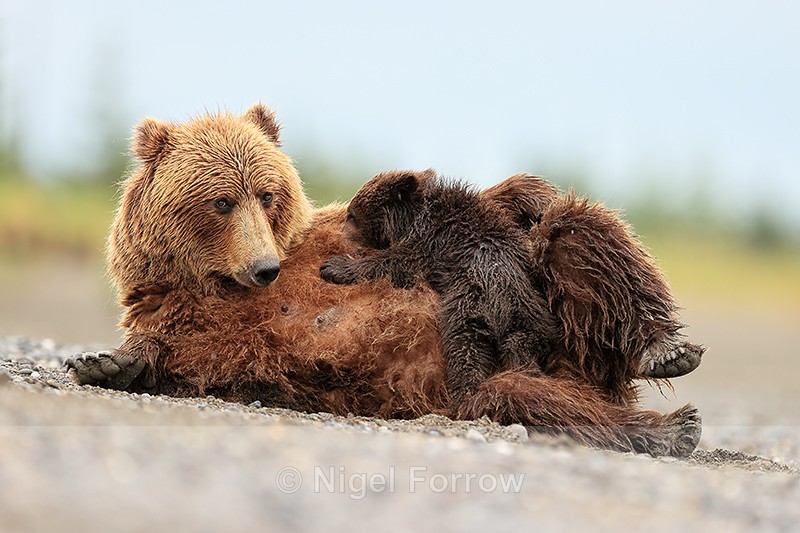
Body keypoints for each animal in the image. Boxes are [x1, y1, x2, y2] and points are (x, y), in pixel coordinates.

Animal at [319, 169, 560, 404]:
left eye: (351, 213)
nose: (340, 235)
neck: (409, 218)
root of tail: (501, 310)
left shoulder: (431, 241)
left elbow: (396, 263)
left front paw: (334, 266)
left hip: (469, 307)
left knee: (465, 349)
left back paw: (465, 392)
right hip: (531, 317)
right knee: (522, 347)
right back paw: (524, 375)